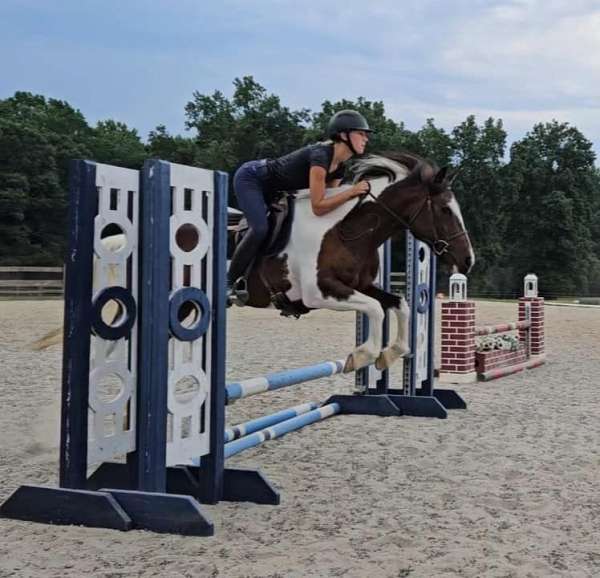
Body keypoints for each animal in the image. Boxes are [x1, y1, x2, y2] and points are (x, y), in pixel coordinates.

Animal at [233, 151, 474, 372]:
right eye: (445, 210)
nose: (468, 260)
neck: (346, 231)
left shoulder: (361, 285)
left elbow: (399, 303)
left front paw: (390, 353)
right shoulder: (318, 292)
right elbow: (375, 308)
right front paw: (362, 355)